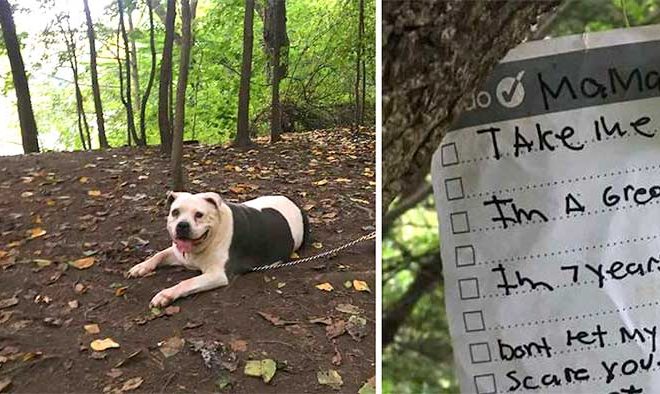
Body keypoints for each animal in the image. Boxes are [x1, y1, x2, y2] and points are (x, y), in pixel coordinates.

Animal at [128, 191, 310, 308]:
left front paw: (166, 295)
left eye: (199, 214)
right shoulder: (179, 253)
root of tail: (294, 202)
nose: (182, 225)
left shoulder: (217, 275)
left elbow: (187, 282)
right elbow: (158, 255)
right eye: (175, 212)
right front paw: (141, 267)